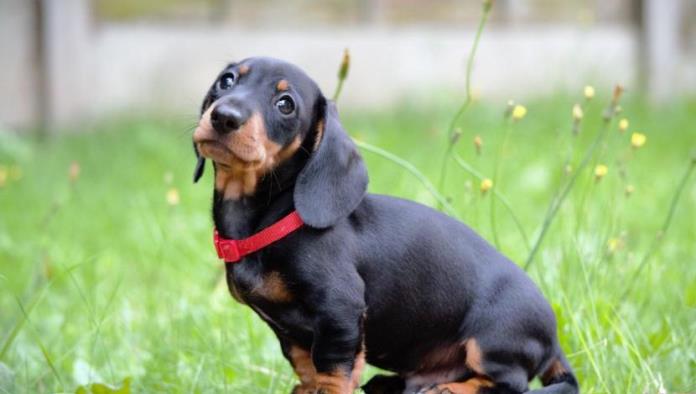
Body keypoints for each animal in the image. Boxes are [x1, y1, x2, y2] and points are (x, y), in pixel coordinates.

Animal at [193, 56, 580, 394]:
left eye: (285, 104)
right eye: (227, 80)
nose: (224, 117)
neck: (271, 219)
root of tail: (553, 341)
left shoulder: (340, 310)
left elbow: (332, 370)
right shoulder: (289, 332)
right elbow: (305, 364)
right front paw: (307, 387)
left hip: (492, 340)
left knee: (510, 383)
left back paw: (448, 389)